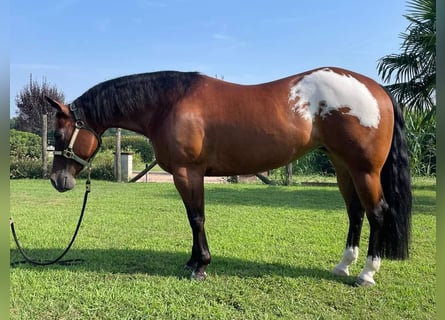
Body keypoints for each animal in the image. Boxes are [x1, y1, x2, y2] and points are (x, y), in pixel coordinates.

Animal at [45, 67, 410, 284]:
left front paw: (201, 265)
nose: (58, 181)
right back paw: (343, 265)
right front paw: (193, 261)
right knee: (355, 212)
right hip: (342, 166)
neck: (168, 103)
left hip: (364, 170)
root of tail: (377, 89)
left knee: (377, 213)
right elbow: (194, 218)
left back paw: (367, 273)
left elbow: (196, 217)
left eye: (59, 135)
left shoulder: (188, 173)